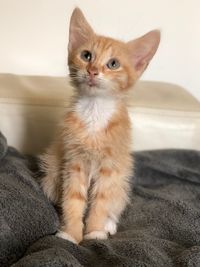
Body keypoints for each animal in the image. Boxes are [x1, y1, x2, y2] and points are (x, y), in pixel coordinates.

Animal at [39, 7, 160, 245]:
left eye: (113, 64)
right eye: (86, 56)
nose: (93, 71)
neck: (94, 110)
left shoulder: (110, 166)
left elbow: (102, 200)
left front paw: (94, 231)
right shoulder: (74, 161)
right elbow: (73, 198)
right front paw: (71, 233)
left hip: (122, 178)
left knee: (116, 199)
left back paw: (109, 224)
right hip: (51, 171)